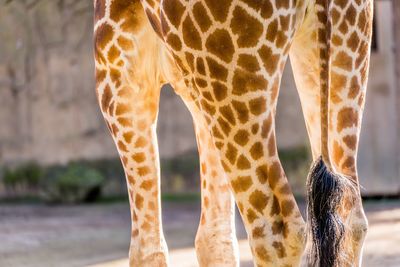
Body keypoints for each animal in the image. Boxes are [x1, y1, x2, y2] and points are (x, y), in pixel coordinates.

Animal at [94, 0, 376, 266]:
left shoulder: (120, 70)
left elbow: (146, 250)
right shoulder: (191, 86)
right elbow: (215, 239)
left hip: (228, 69)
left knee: (277, 231)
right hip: (344, 43)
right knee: (350, 218)